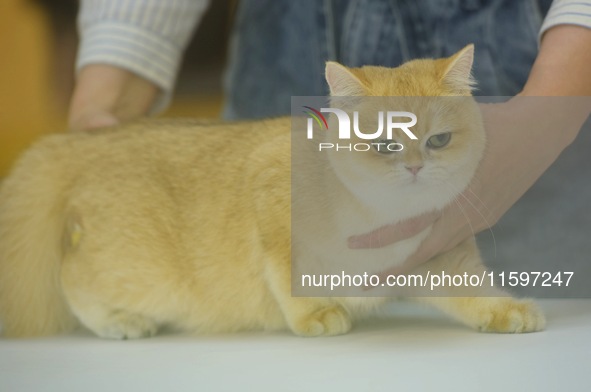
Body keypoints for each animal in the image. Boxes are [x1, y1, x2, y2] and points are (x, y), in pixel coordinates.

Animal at [0, 45, 544, 336]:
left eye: (439, 141)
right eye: (386, 143)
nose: (414, 167)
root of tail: (80, 142)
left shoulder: (439, 256)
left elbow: (473, 291)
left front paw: (507, 310)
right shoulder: (272, 202)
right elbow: (288, 277)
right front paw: (315, 315)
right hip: (135, 270)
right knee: (73, 280)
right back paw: (118, 321)